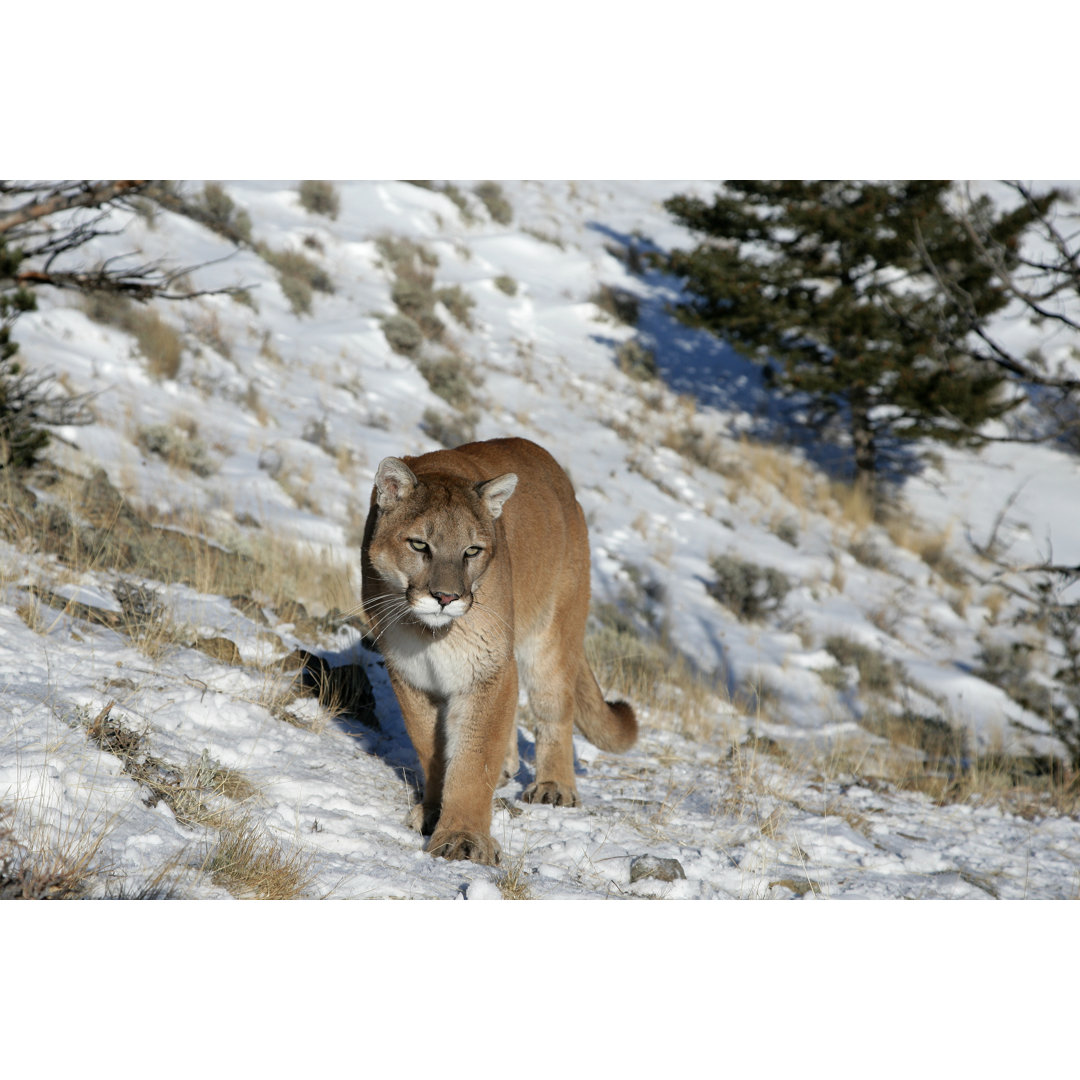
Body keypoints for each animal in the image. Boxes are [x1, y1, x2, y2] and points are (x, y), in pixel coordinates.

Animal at [358, 434, 635, 864]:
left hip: (551, 636)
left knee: (554, 708)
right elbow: (430, 746)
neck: (430, 634)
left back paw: (554, 787)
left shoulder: (488, 669)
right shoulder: (410, 673)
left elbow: (474, 758)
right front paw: (434, 810)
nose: (445, 597)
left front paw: (463, 837)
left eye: (472, 550)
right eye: (419, 544)